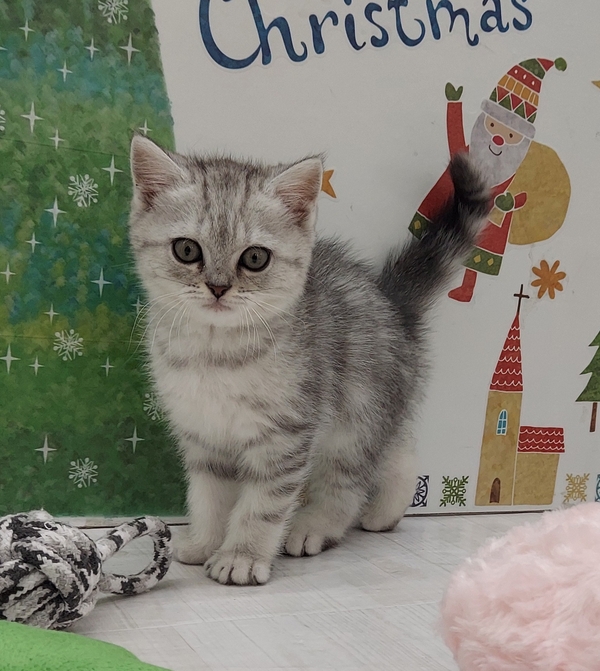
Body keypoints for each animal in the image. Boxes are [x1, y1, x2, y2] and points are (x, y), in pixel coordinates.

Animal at [128, 136, 489, 585]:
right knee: (397, 450)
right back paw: (387, 512)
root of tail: (393, 303)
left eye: (255, 258)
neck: (216, 354)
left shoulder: (286, 432)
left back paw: (316, 526)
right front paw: (205, 541)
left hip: (355, 414)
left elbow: (262, 503)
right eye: (186, 250)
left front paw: (242, 556)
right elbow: (209, 495)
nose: (218, 287)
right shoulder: (203, 435)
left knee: (349, 478)